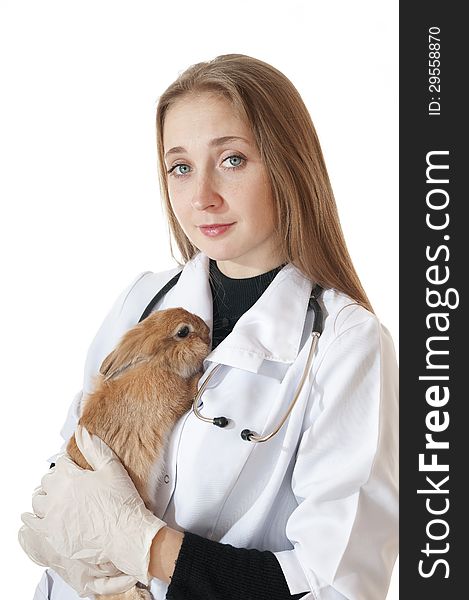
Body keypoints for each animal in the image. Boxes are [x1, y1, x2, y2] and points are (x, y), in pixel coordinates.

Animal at [66, 308, 210, 596]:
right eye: (183, 332)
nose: (209, 332)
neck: (157, 362)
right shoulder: (175, 394)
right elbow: (189, 391)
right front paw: (201, 376)